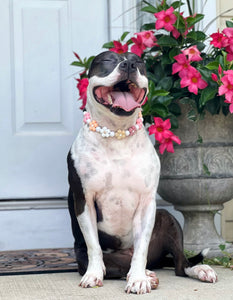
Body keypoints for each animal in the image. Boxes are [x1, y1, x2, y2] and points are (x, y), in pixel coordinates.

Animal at [67, 51, 217, 292]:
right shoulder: (84, 202)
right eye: (107, 60)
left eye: (138, 62)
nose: (128, 65)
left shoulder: (147, 203)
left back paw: (197, 270)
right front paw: (93, 274)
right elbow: (94, 246)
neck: (116, 134)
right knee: (117, 268)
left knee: (180, 264)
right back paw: (147, 274)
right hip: (84, 256)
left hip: (167, 219)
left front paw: (138, 279)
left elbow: (141, 248)